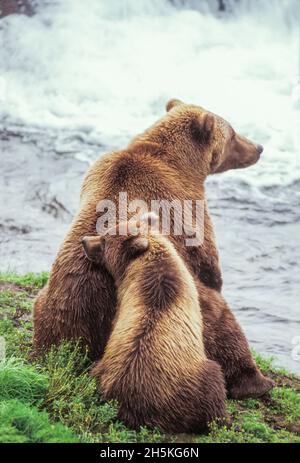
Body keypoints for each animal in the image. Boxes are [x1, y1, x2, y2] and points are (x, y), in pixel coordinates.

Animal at [34, 99, 274, 400]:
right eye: (232, 132)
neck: (183, 165)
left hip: (48, 305)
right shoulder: (186, 209)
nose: (259, 147)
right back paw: (256, 381)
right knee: (221, 322)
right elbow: (209, 266)